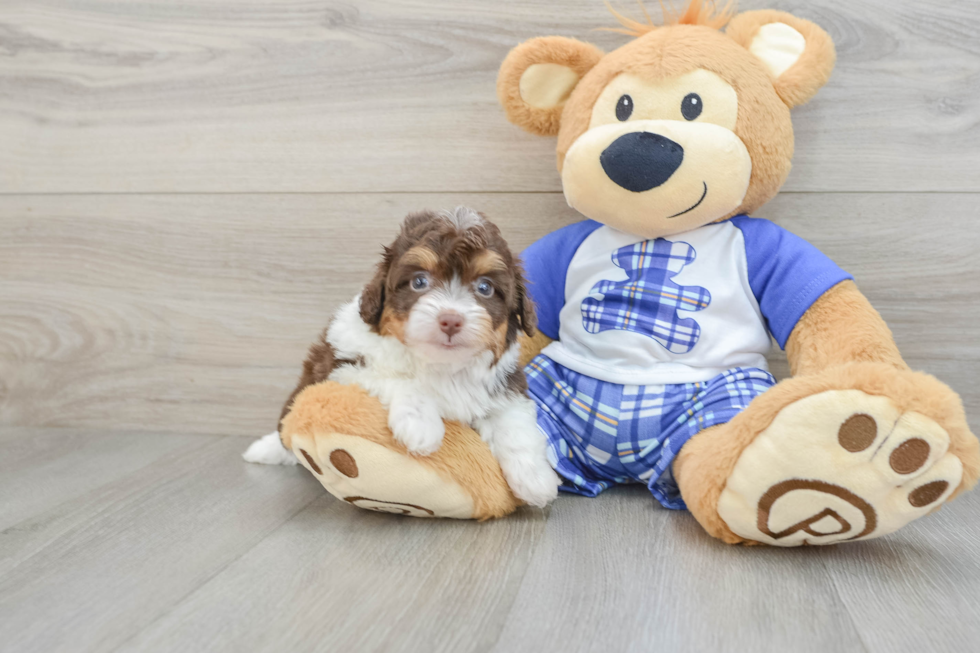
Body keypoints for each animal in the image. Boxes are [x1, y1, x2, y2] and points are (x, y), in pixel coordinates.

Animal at [245, 206, 564, 506]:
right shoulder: (342, 367)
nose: (450, 320)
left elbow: (515, 423)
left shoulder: (505, 385)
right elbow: (397, 379)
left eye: (485, 287)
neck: (442, 365)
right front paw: (421, 426)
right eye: (419, 282)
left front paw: (536, 479)